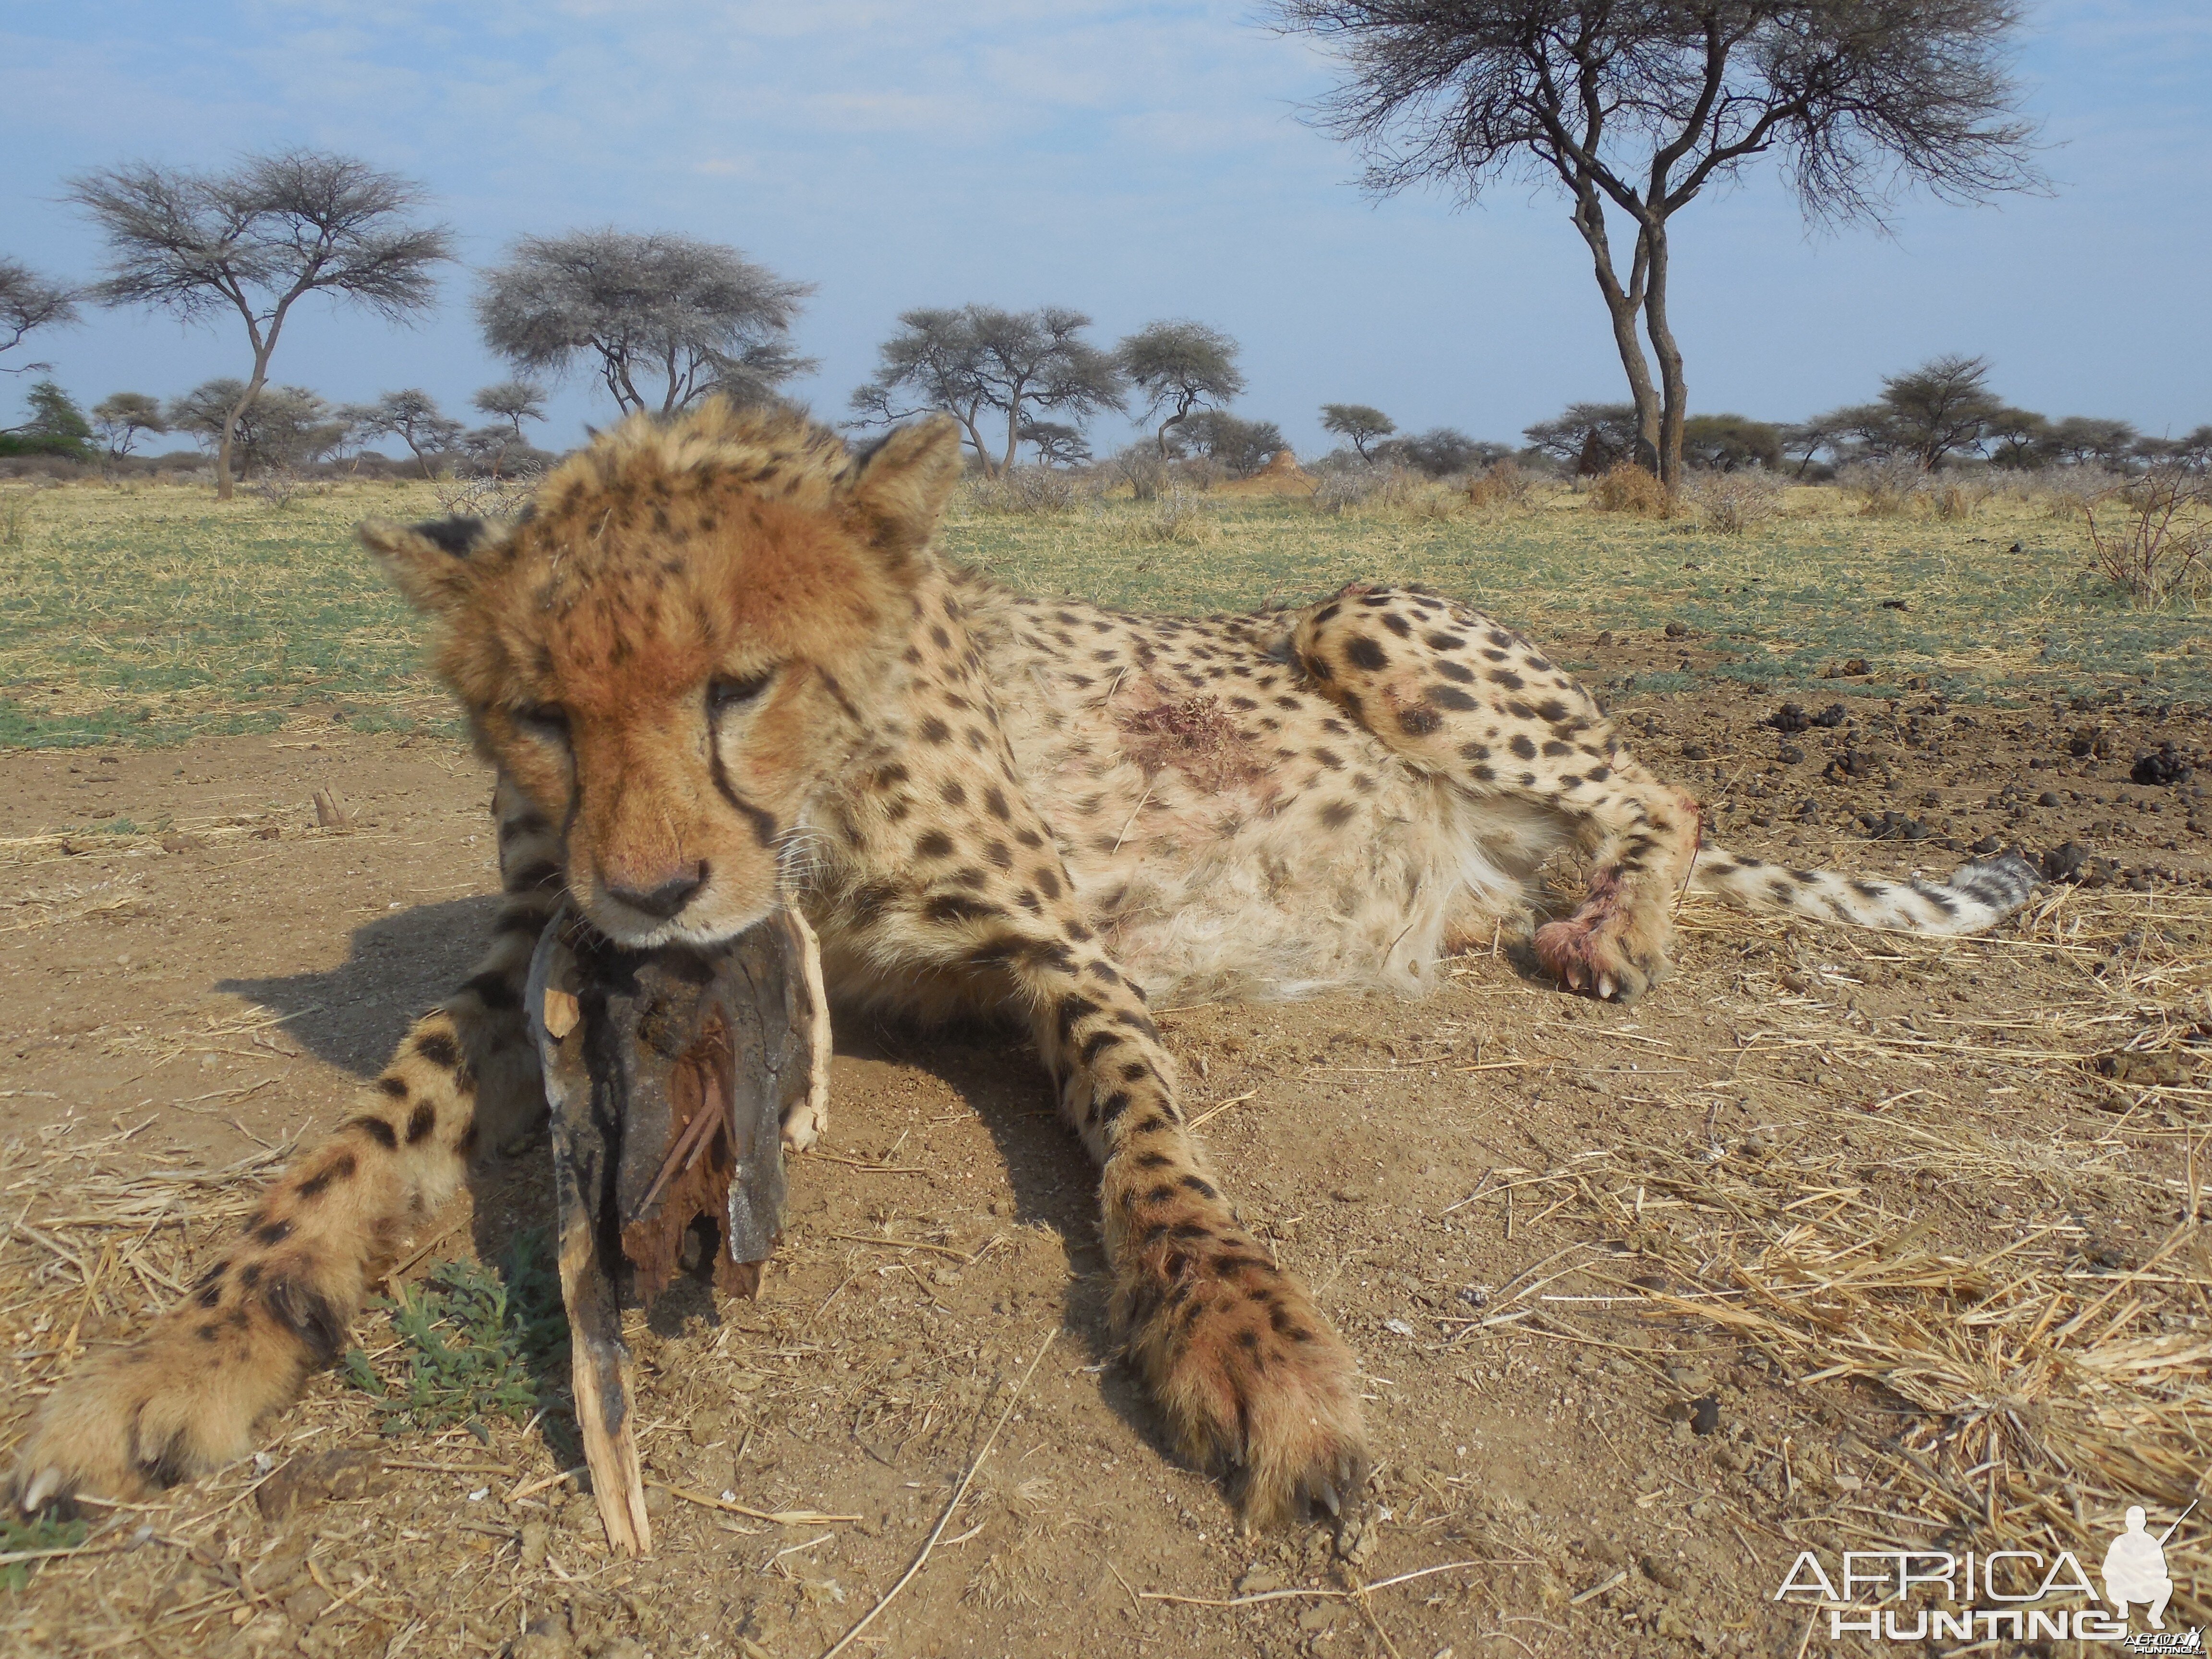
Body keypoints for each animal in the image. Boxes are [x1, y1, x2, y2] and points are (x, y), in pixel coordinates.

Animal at [9, 402, 2035, 1530]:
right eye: (538, 716)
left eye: (738, 680)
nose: (656, 892)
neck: (807, 840)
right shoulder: (542, 954)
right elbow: (351, 1143)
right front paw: (186, 1346)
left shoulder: (1055, 943)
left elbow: (1155, 1153)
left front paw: (1250, 1345)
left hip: (1369, 612)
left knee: (1668, 790)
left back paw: (1618, 926)